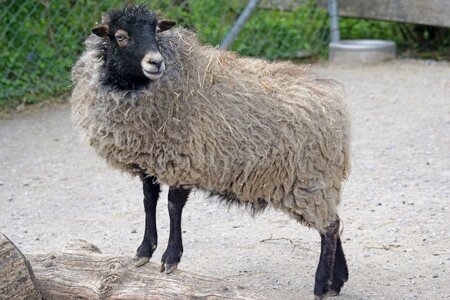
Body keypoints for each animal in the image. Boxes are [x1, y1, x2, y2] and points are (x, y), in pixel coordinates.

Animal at [70, 5, 352, 300]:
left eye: (156, 31)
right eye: (121, 36)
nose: (156, 62)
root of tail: (333, 102)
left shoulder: (184, 160)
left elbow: (173, 206)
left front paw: (171, 258)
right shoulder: (149, 163)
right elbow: (149, 202)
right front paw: (144, 251)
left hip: (309, 178)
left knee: (330, 228)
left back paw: (320, 285)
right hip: (315, 182)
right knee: (332, 222)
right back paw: (336, 280)